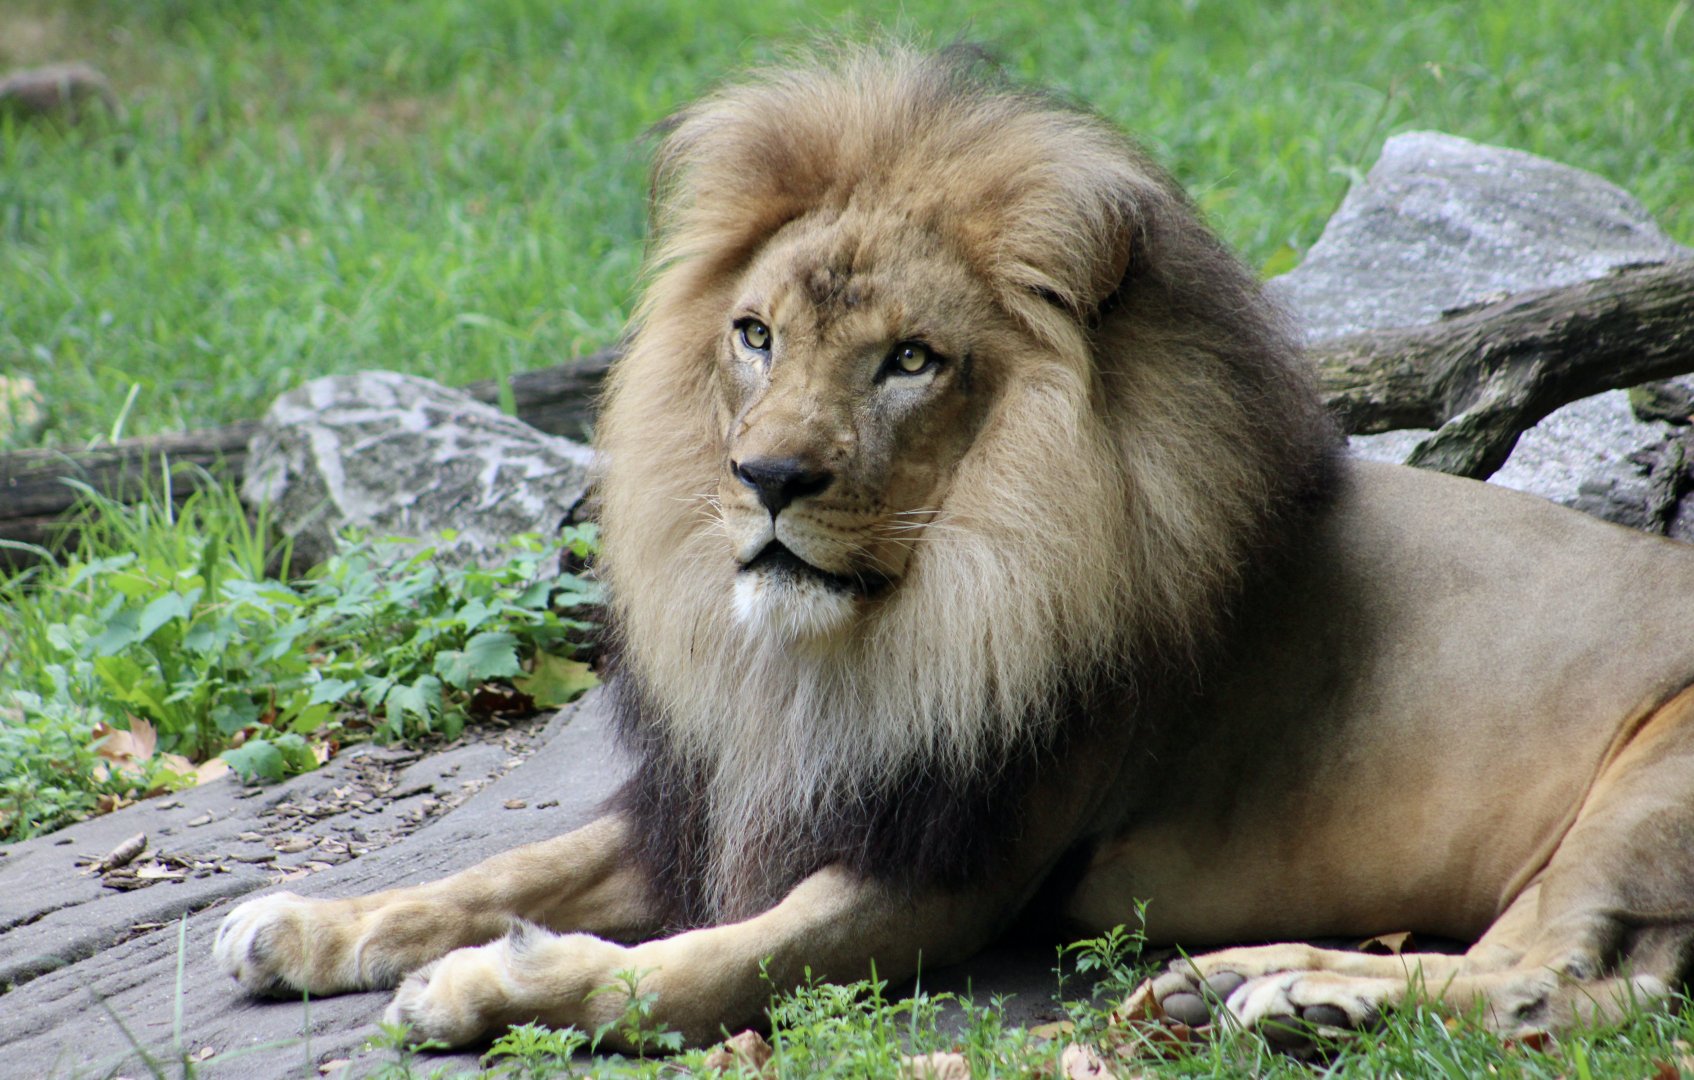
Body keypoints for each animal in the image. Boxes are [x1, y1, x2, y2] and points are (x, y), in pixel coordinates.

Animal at [214, 47, 1694, 1051]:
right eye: (754, 335)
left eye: (910, 362)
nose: (765, 478)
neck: (865, 634)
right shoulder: (748, 791)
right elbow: (501, 869)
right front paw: (303, 925)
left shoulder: (949, 874)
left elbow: (705, 965)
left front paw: (489, 986)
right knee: (1604, 990)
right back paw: (1241, 986)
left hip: (1644, 775)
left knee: (1543, 978)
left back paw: (1301, 994)